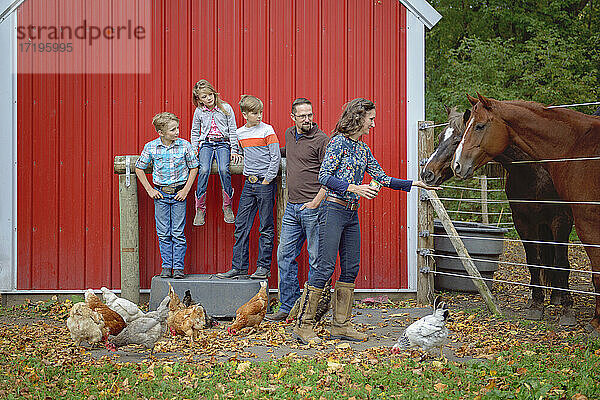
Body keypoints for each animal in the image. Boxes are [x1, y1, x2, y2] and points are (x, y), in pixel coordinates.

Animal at [420, 107, 576, 324]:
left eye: (457, 140)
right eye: (441, 136)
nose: (427, 173)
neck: (536, 172)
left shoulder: (561, 220)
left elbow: (562, 262)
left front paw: (567, 309)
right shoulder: (523, 221)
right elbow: (533, 260)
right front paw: (537, 304)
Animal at [452, 94, 600, 334]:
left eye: (480, 126)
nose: (457, 165)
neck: (577, 146)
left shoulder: (581, 221)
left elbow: (588, 269)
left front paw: (591, 320)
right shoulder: (525, 221)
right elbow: (535, 261)